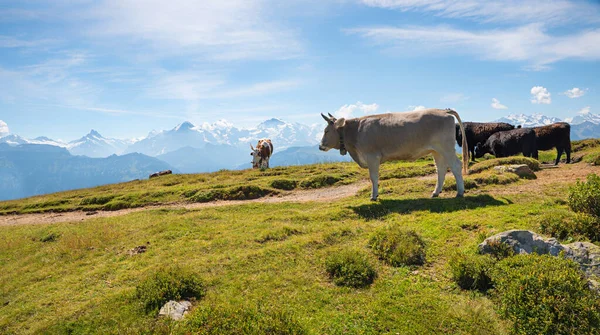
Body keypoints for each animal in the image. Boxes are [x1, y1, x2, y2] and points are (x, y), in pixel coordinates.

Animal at [318, 109, 468, 201]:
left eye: (326, 131)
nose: (320, 146)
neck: (355, 131)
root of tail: (443, 110)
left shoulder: (372, 157)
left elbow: (373, 177)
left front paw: (374, 196)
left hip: (446, 148)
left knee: (456, 166)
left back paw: (460, 192)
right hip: (436, 151)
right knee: (441, 169)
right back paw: (435, 192)